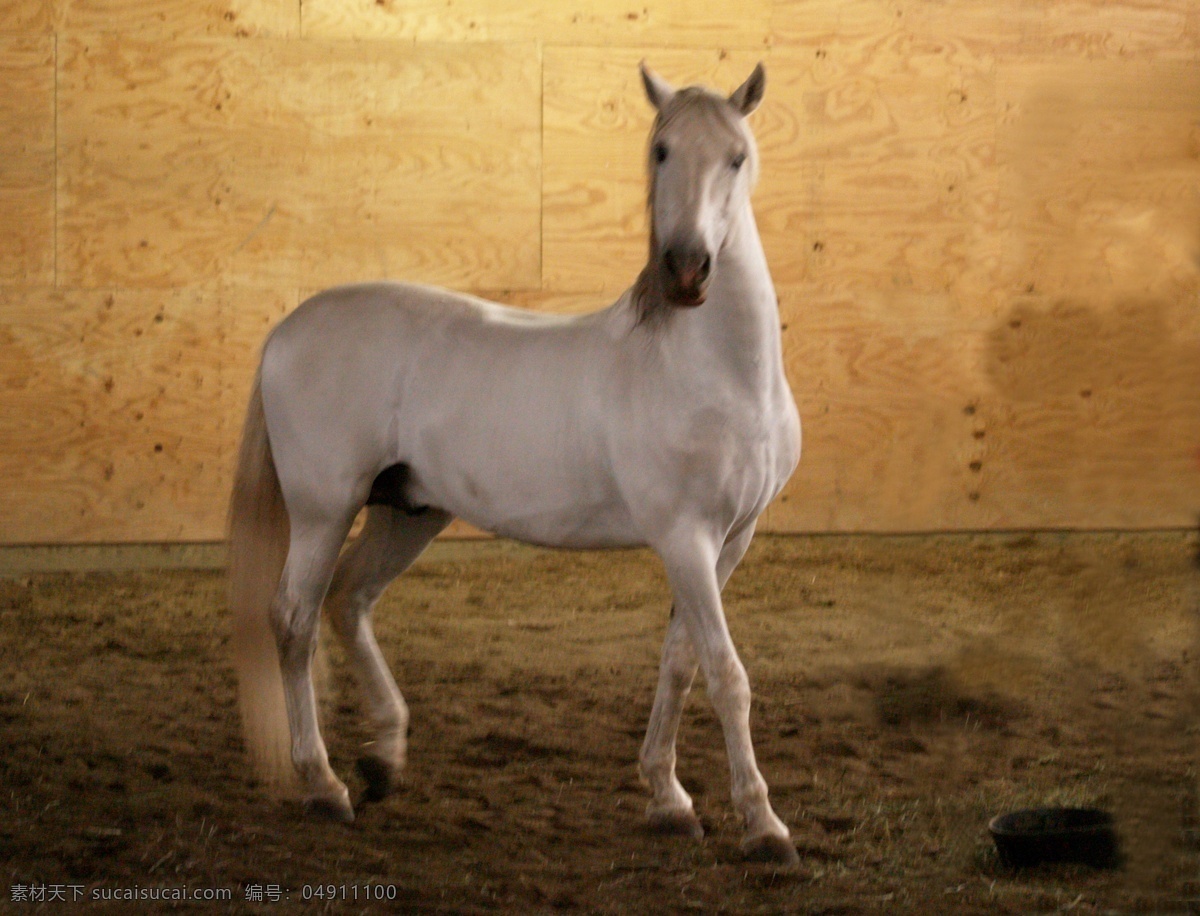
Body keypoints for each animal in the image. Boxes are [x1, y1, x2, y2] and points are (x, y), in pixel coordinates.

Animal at [229, 64, 801, 869]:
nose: (687, 270)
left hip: (409, 513)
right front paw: (763, 824)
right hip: (322, 510)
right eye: (660, 151)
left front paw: (669, 799)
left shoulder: (731, 540)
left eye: (737, 156)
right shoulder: (683, 538)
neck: (711, 369)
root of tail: (285, 330)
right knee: (294, 619)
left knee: (348, 600)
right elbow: (726, 674)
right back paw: (324, 784)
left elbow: (681, 661)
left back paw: (384, 759)